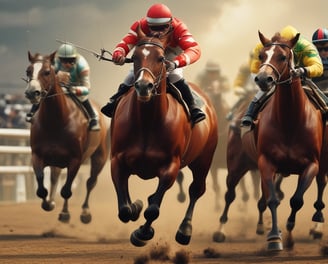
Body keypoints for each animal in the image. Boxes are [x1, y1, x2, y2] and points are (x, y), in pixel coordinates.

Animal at [24, 51, 109, 223]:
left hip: (100, 156)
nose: (32, 92)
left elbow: (67, 190)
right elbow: (42, 189)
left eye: (47, 72)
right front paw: (49, 203)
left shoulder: (75, 159)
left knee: (90, 182)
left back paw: (84, 212)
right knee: (55, 178)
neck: (56, 122)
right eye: (28, 71)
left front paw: (65, 212)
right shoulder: (37, 155)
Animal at [109, 25, 219, 246]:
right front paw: (135, 207)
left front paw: (141, 234)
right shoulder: (117, 159)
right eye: (134, 57)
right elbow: (125, 210)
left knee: (196, 190)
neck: (147, 122)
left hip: (204, 159)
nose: (144, 86)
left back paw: (185, 230)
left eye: (160, 58)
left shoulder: (171, 165)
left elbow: (153, 210)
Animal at [241, 32, 328, 251]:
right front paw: (274, 238)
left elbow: (296, 200)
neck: (290, 121)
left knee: (322, 182)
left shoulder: (311, 164)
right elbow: (272, 199)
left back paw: (318, 216)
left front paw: (289, 234)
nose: (264, 79)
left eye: (282, 57)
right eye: (261, 56)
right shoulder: (266, 162)